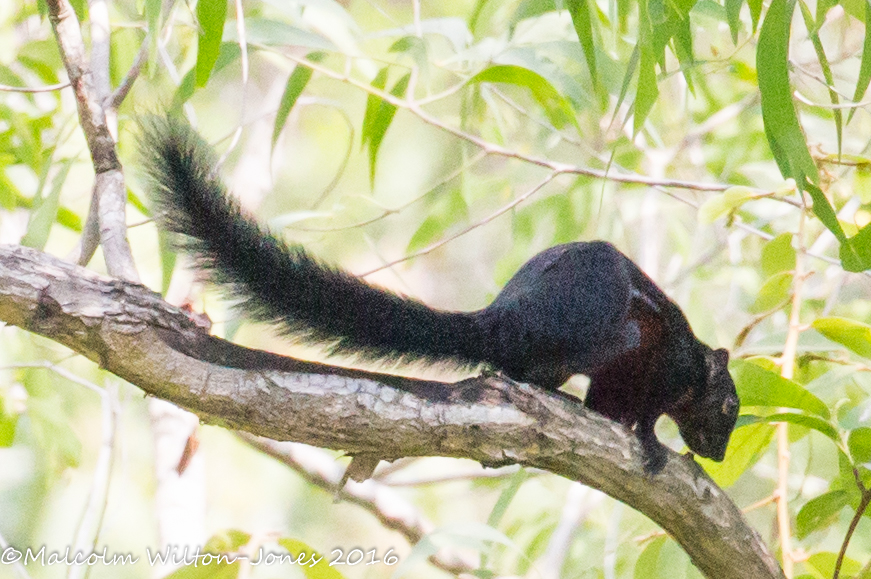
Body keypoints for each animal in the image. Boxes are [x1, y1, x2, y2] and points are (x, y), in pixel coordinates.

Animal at [140, 115, 740, 474]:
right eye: (732, 406)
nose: (717, 453)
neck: (692, 364)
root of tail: (503, 316)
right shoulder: (666, 363)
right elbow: (649, 411)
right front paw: (654, 442)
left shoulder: (621, 385)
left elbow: (613, 408)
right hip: (605, 315)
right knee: (543, 361)